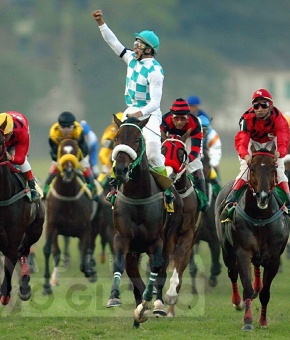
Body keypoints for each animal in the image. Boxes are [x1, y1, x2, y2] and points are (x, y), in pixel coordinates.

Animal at [106, 115, 165, 328]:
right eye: (116, 138)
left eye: (137, 140)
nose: (120, 169)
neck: (138, 196)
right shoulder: (122, 237)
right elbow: (119, 263)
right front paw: (114, 297)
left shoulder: (157, 241)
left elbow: (156, 268)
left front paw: (146, 306)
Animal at [153, 137, 201, 318]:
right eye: (163, 150)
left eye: (181, 154)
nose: (169, 174)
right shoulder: (167, 236)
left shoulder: (187, 234)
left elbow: (179, 263)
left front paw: (171, 296)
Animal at [215, 145, 290, 330]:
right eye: (253, 169)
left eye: (273, 169)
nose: (262, 196)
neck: (260, 218)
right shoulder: (243, 252)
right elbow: (246, 287)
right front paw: (248, 321)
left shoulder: (274, 257)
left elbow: (265, 293)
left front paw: (263, 321)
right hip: (227, 251)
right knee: (232, 273)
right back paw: (237, 302)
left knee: (256, 269)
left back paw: (257, 285)